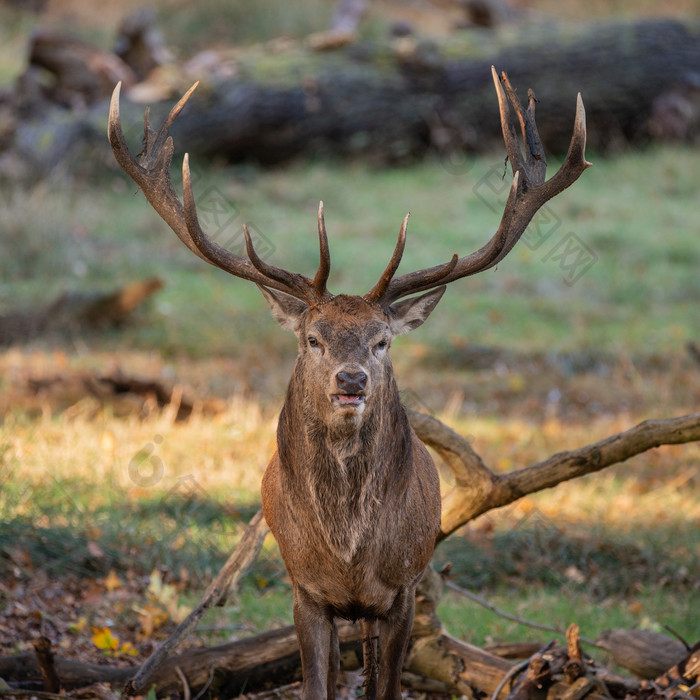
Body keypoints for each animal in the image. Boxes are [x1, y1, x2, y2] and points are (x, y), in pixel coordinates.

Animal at [108, 67, 592, 700]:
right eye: (313, 338)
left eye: (382, 340)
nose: (352, 379)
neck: (347, 551)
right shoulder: (305, 592)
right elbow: (317, 685)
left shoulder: (402, 589)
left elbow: (387, 686)